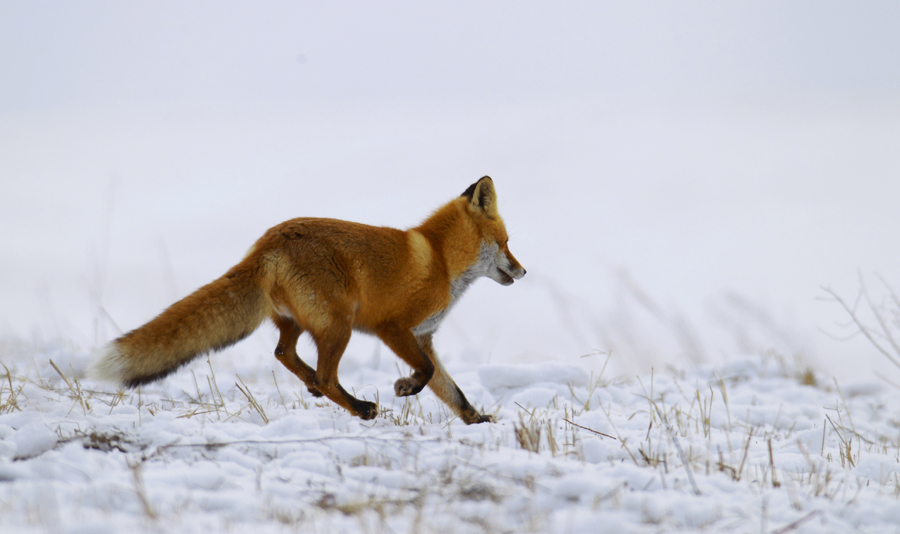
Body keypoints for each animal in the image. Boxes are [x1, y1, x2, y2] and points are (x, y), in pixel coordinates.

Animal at [88, 178, 524, 426]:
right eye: (505, 243)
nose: (523, 272)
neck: (441, 261)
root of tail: (267, 242)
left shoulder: (423, 337)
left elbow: (451, 389)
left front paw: (476, 420)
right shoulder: (394, 327)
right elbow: (428, 372)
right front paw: (404, 387)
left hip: (301, 322)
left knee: (285, 353)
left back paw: (314, 386)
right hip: (340, 323)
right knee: (326, 375)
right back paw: (358, 407)